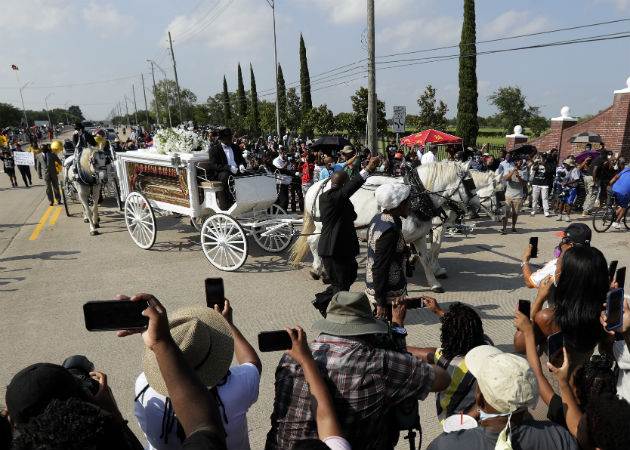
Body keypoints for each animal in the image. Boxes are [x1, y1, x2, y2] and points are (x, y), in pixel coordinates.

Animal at [292, 160, 478, 294]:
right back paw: (318, 269)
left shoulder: (419, 236)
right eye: (470, 183)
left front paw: (434, 282)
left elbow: (424, 258)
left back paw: (322, 271)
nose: (477, 206)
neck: (416, 198)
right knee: (314, 242)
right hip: (322, 224)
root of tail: (318, 184)